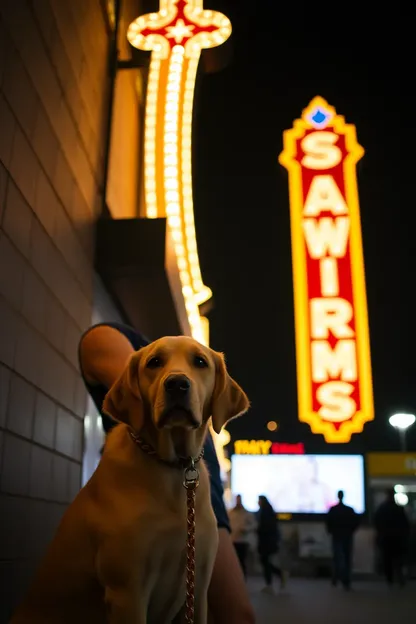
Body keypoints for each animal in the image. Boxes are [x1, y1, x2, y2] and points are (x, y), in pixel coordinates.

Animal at [11, 336, 249, 624]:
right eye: (154, 362)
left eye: (200, 362)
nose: (177, 384)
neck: (171, 467)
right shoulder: (128, 592)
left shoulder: (199, 588)